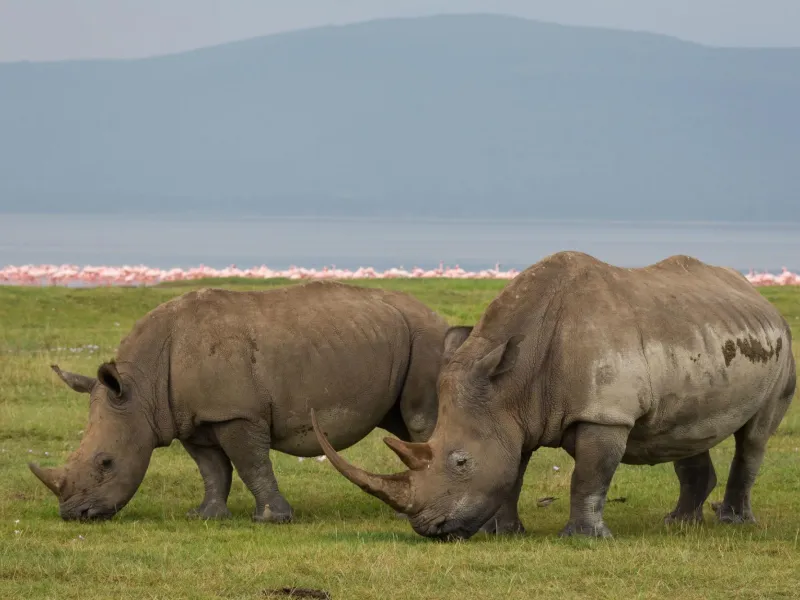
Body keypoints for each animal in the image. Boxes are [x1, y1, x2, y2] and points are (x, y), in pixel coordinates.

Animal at [28, 281, 475, 523]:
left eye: (106, 463)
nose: (75, 515)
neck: (142, 387)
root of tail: (435, 315)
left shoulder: (236, 413)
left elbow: (250, 464)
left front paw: (272, 519)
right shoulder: (193, 417)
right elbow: (212, 469)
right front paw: (205, 516)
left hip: (427, 341)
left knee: (419, 419)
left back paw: (406, 513)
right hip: (399, 341)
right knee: (403, 424)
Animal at [312, 252, 796, 539]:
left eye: (461, 462)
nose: (430, 528)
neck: (513, 381)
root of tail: (758, 296)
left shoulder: (604, 413)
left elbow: (589, 476)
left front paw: (583, 539)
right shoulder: (511, 416)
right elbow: (511, 473)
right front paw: (505, 533)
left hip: (784, 345)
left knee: (754, 438)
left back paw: (734, 523)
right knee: (685, 431)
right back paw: (678, 523)